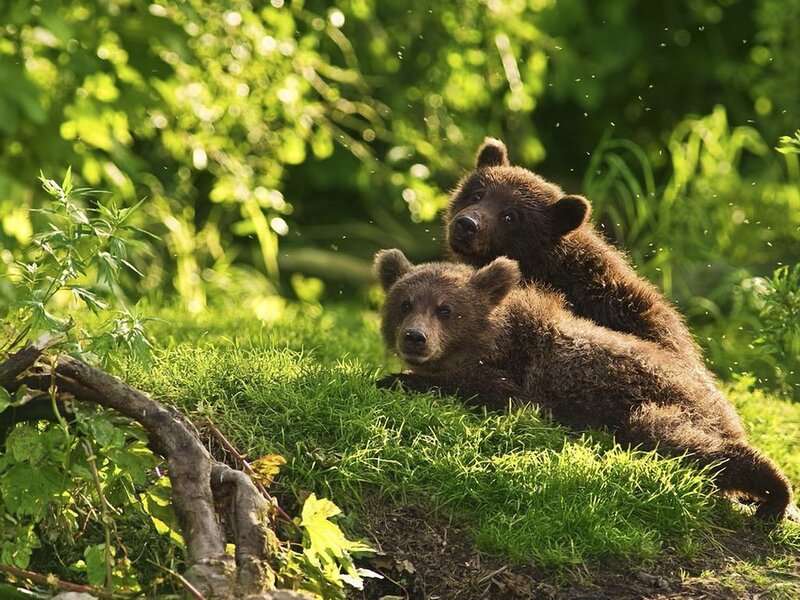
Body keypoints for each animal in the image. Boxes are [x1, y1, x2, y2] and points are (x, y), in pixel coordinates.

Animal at [374, 248, 796, 521]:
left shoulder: (521, 379)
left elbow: (484, 390)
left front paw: (394, 379)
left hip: (663, 404)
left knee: (683, 440)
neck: (494, 339)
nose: (414, 338)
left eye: (445, 309)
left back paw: (774, 494)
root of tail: (724, 406)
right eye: (404, 303)